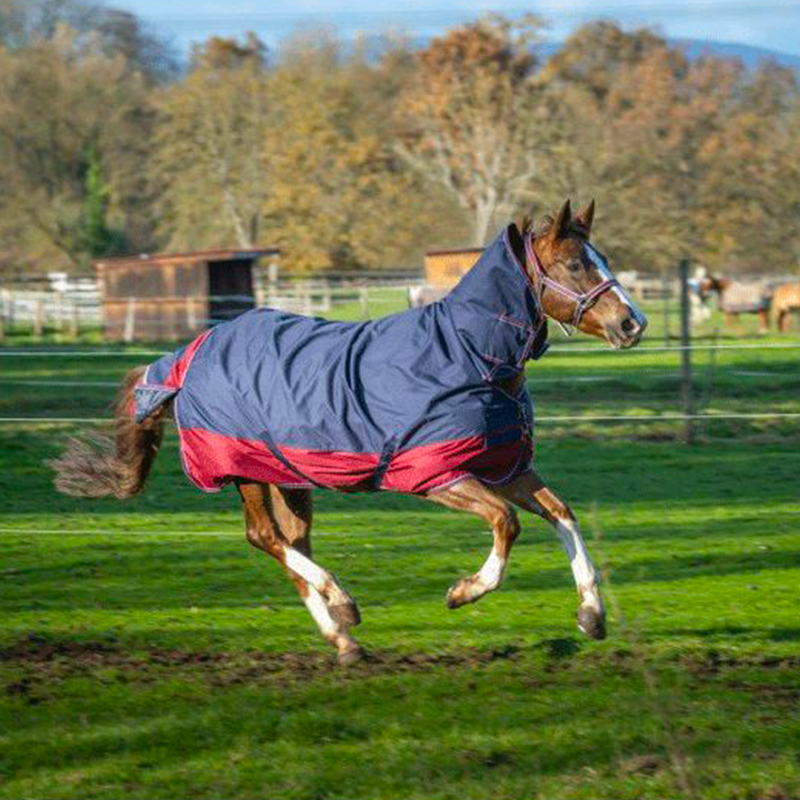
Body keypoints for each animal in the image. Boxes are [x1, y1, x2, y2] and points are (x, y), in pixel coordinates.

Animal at [50, 198, 648, 664]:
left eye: (600, 259)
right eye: (574, 263)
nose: (632, 323)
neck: (469, 355)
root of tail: (189, 354)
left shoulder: (505, 467)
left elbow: (562, 515)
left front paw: (591, 616)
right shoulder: (434, 474)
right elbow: (507, 523)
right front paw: (463, 593)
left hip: (289, 478)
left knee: (290, 543)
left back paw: (343, 640)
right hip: (244, 471)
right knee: (265, 538)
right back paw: (343, 603)